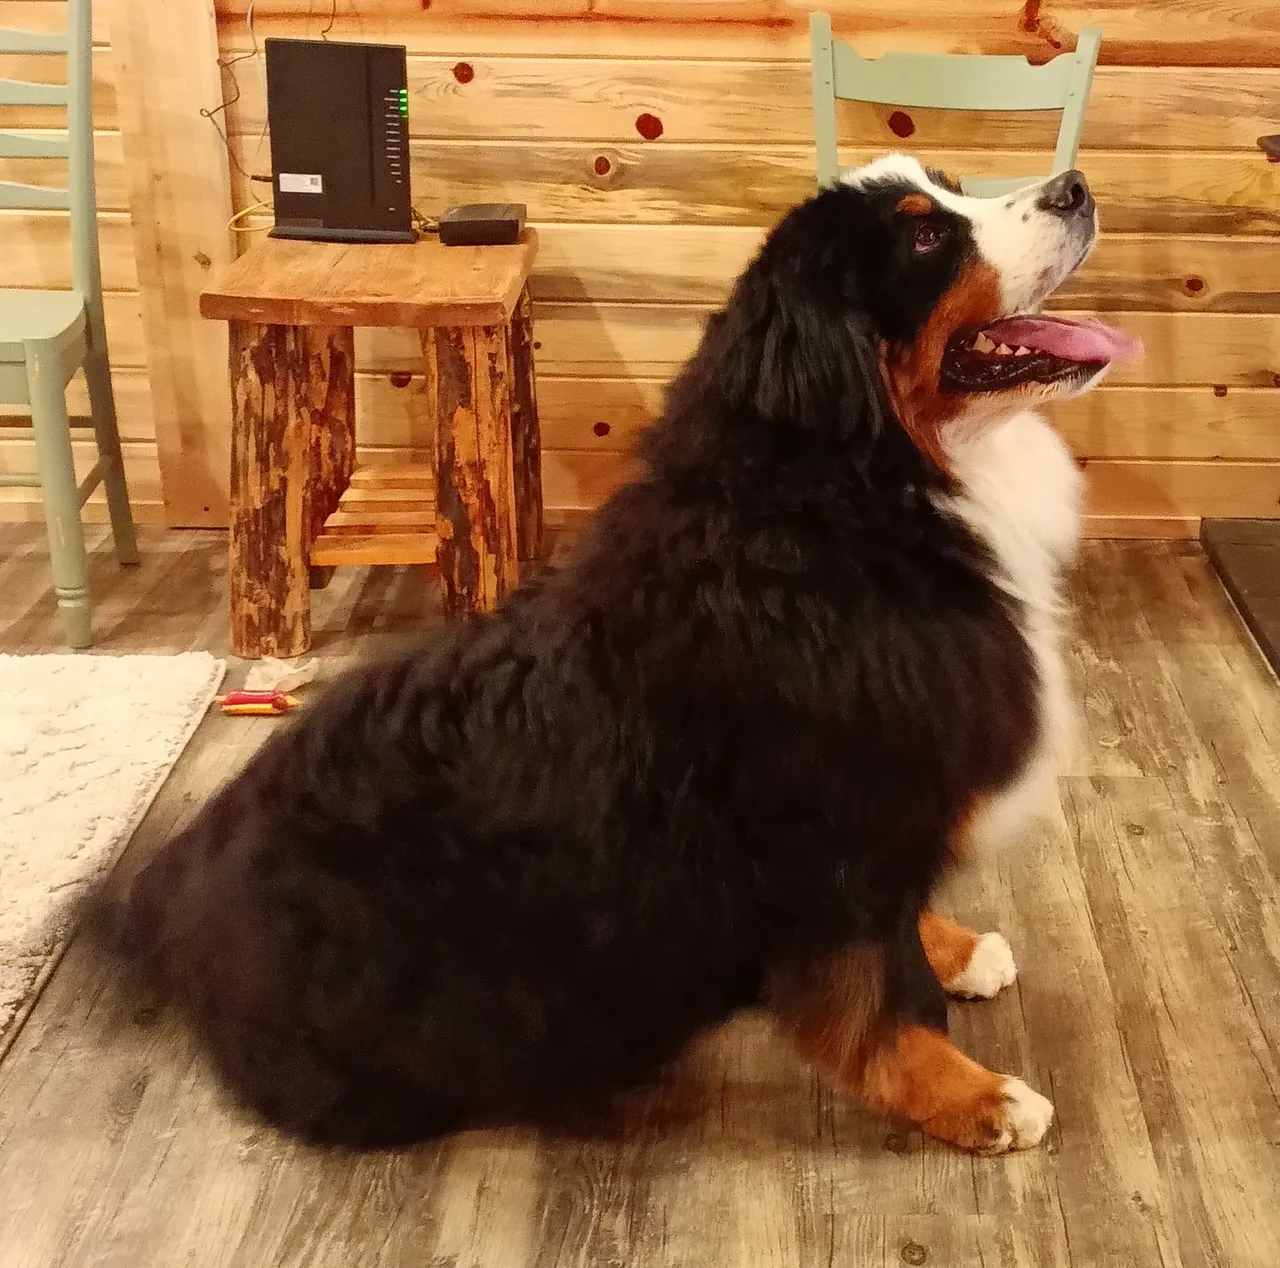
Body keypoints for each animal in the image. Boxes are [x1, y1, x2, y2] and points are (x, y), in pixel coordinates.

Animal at [82, 153, 1141, 1156]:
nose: (1078, 186)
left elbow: (906, 934)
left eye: (949, 193)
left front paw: (957, 953)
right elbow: (882, 1000)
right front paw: (974, 1098)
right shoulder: (840, 840)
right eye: (926, 240)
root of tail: (176, 880)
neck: (860, 497)